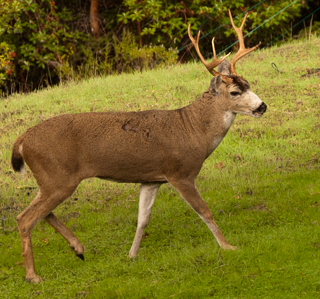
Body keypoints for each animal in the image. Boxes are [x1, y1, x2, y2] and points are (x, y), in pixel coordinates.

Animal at [10, 10, 264, 284]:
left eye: (249, 83)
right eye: (235, 91)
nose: (262, 106)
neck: (193, 129)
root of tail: (22, 140)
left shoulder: (151, 179)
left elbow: (142, 219)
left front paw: (131, 256)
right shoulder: (180, 172)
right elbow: (204, 211)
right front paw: (228, 246)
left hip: (50, 180)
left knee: (41, 212)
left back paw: (78, 249)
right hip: (58, 177)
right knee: (25, 218)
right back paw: (33, 276)